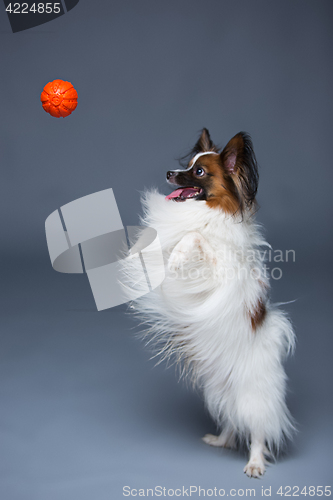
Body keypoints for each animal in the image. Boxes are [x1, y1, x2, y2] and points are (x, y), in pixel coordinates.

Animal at [126, 128, 294, 476]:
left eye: (200, 172)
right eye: (187, 164)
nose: (169, 173)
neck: (207, 212)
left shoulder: (217, 272)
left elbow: (194, 238)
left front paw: (179, 256)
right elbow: (160, 243)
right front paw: (139, 254)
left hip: (251, 396)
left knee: (257, 430)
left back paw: (255, 463)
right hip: (221, 390)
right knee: (233, 420)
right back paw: (221, 440)